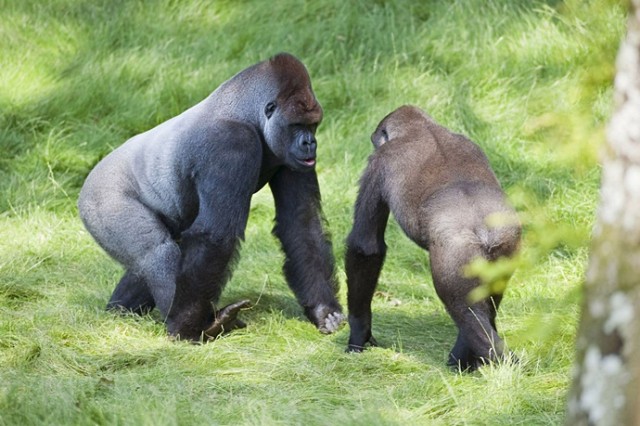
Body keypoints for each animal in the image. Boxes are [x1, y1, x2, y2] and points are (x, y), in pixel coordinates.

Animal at [80, 52, 344, 340]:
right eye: (297, 125)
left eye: (313, 125)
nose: (310, 143)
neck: (248, 113)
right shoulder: (232, 143)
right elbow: (215, 235)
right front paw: (187, 325)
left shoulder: (292, 158)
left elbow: (301, 222)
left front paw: (323, 309)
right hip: (102, 199)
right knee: (157, 252)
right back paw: (189, 325)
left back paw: (120, 309)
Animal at [344, 105, 520, 370]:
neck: (421, 127)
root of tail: (485, 231)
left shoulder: (378, 163)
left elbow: (365, 246)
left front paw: (358, 333)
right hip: (506, 243)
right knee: (482, 303)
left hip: (457, 252)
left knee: (461, 307)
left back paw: (472, 358)